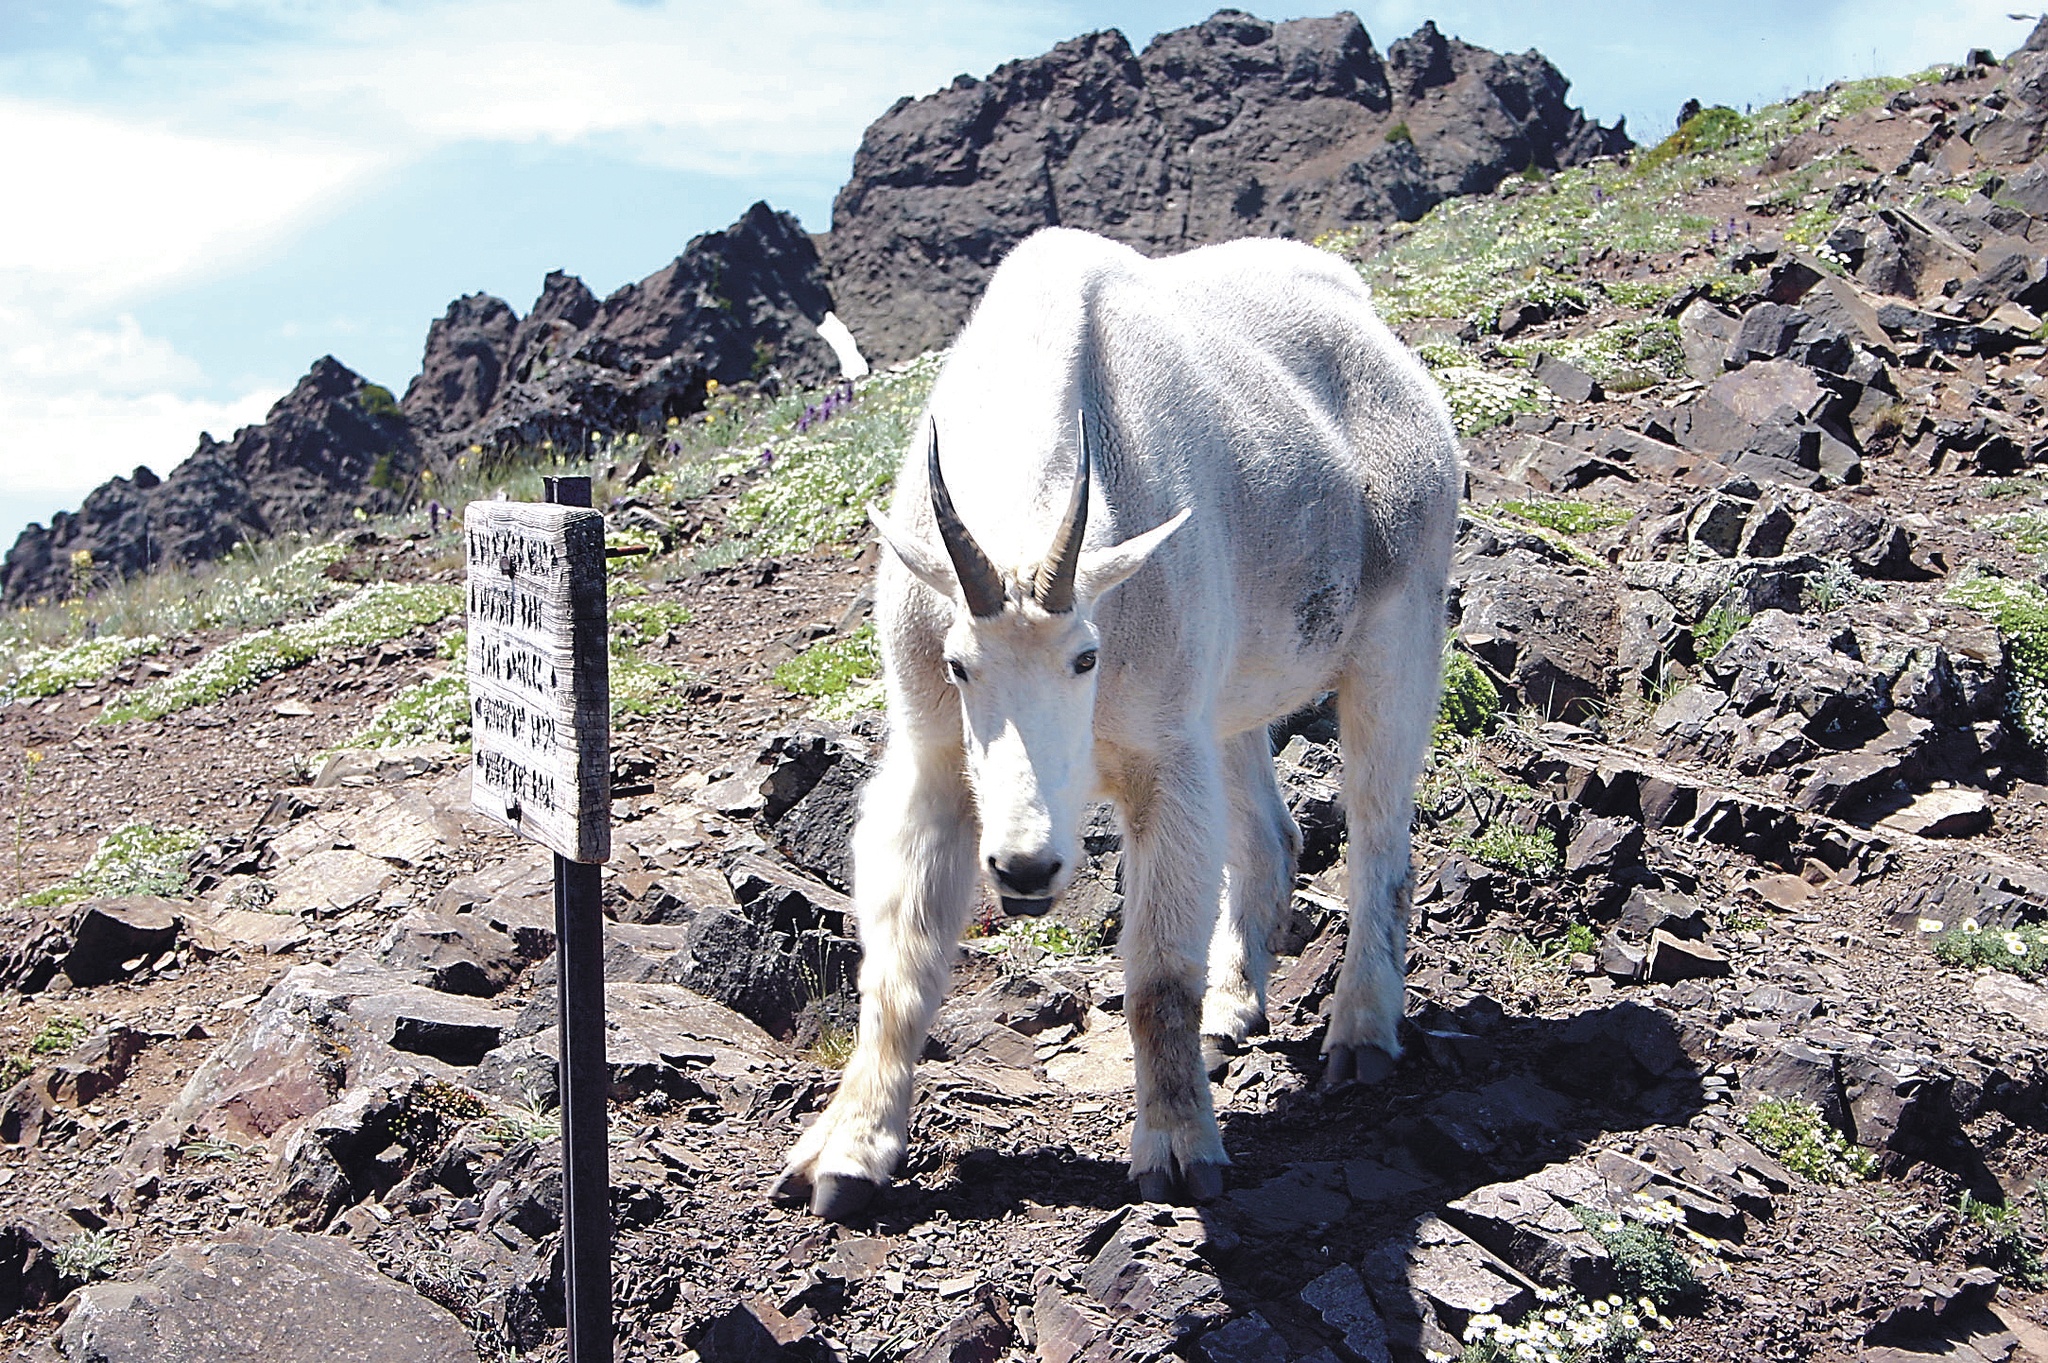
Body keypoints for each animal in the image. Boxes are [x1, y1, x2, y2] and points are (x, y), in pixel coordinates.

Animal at [772, 227, 1460, 1219]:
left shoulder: (1161, 755)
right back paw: (1232, 1008)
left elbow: (1157, 973)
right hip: (1231, 697)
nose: (1026, 867)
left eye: (1086, 658)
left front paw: (1177, 1151)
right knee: (1274, 833)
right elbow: (901, 962)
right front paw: (847, 1155)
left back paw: (1361, 1033)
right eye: (958, 662)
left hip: (1399, 631)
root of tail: (1373, 328)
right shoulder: (936, 753)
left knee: (1380, 838)